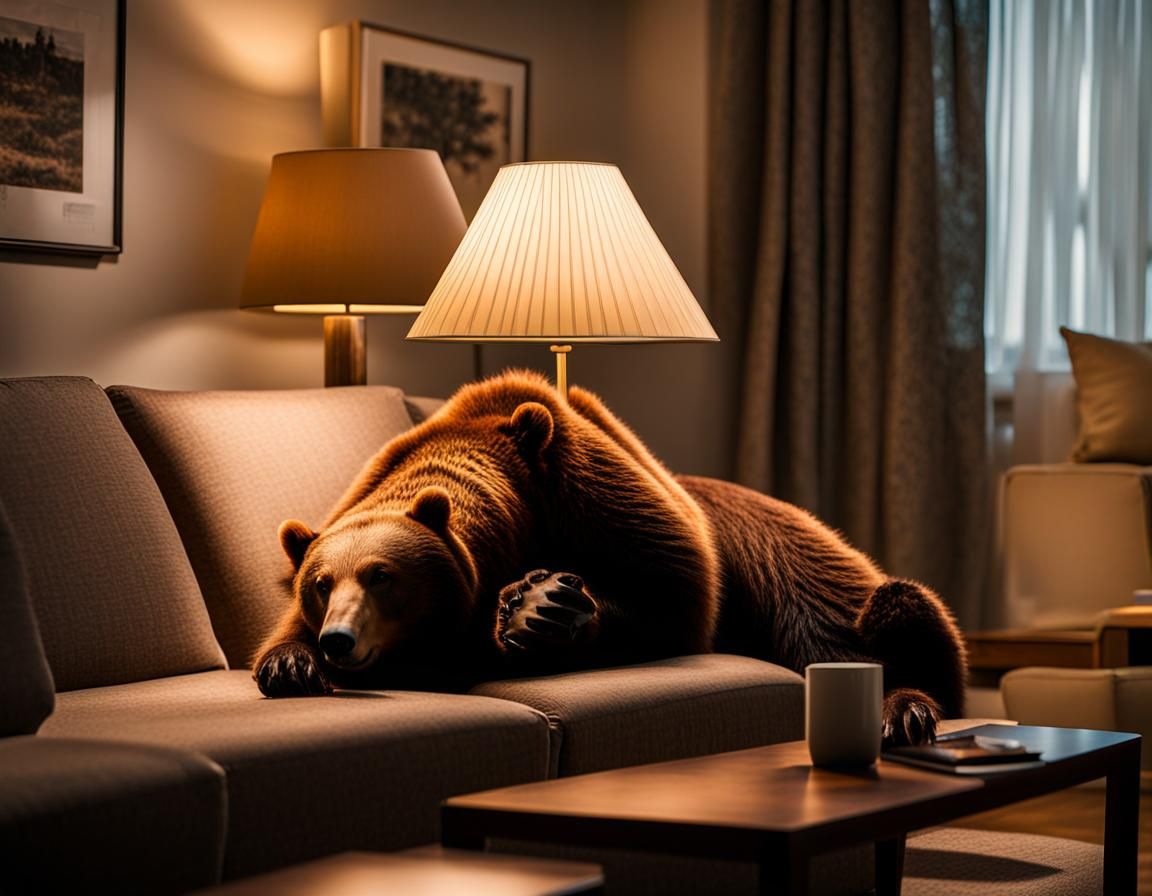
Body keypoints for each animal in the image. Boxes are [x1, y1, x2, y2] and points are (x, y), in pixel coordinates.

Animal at [253, 370, 966, 745]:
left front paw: (541, 606)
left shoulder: (588, 487)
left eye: (383, 577)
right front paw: (290, 664)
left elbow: (674, 591)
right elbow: (277, 634)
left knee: (887, 611)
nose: (339, 640)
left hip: (801, 573)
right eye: (321, 584)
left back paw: (905, 708)